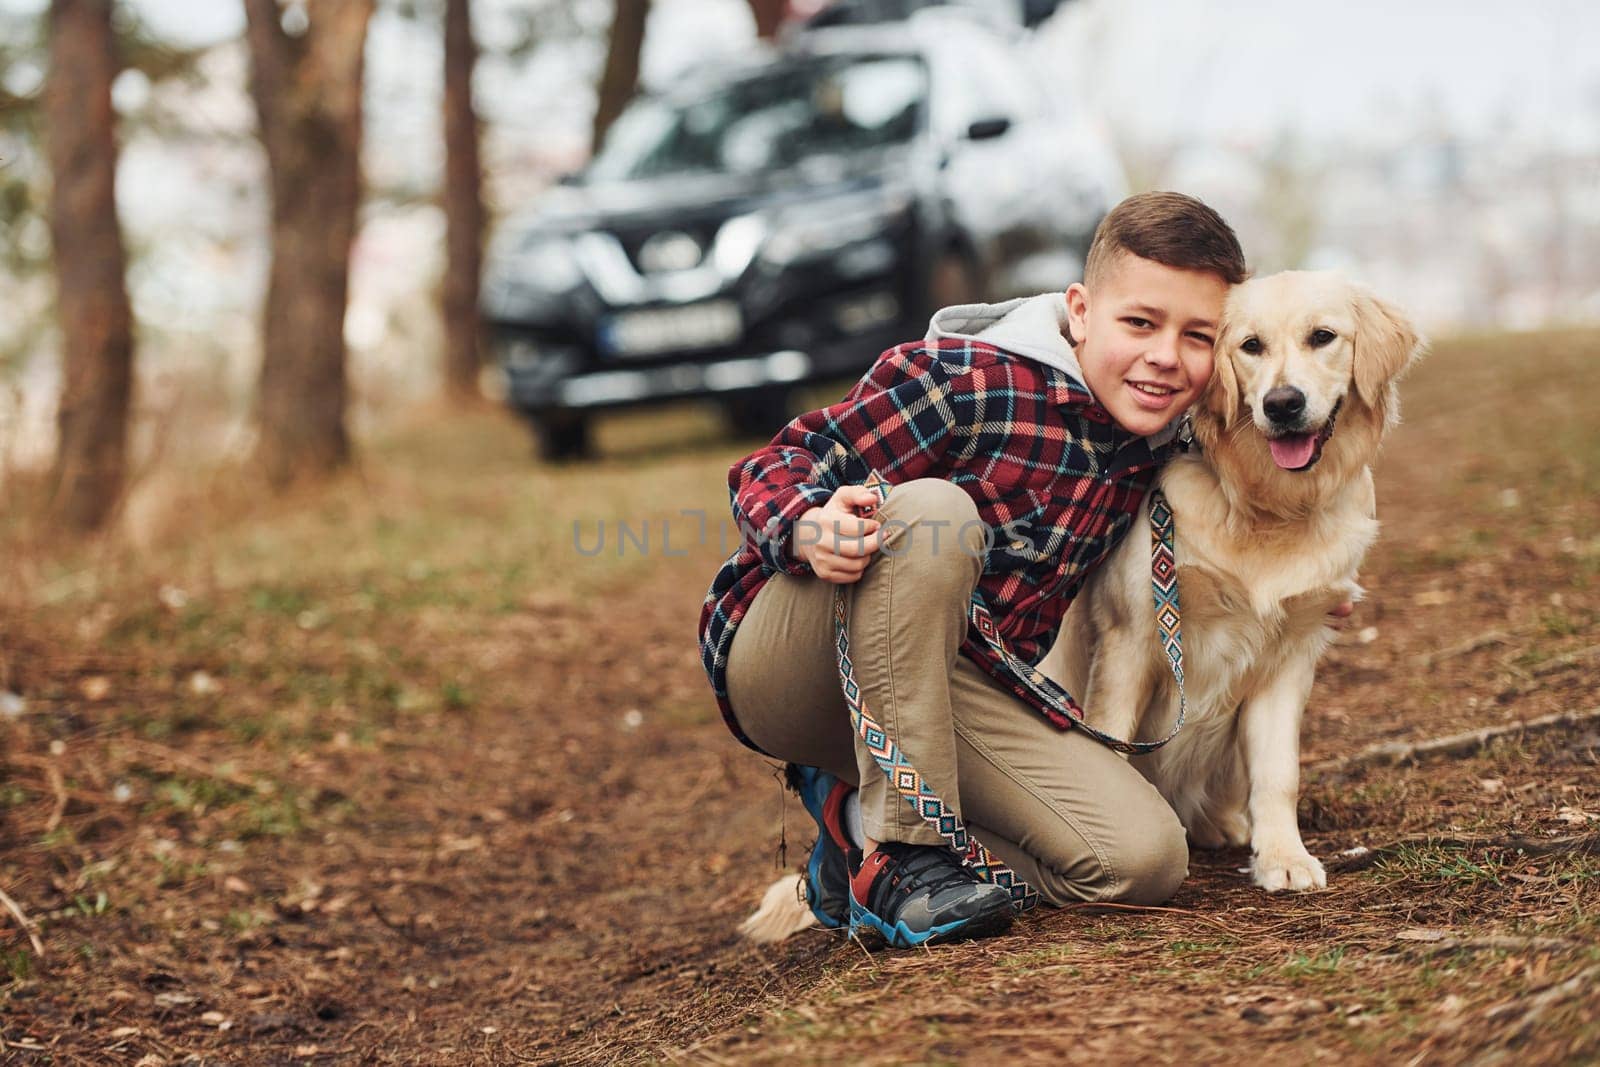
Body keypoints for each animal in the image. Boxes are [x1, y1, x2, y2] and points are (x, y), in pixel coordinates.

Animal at [1036, 268, 1427, 895]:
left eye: (1323, 336)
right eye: (1250, 346)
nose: (1283, 403)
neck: (1271, 507)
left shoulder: (1291, 653)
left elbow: (1279, 774)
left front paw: (1283, 856)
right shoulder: (1132, 636)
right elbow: (1113, 740)